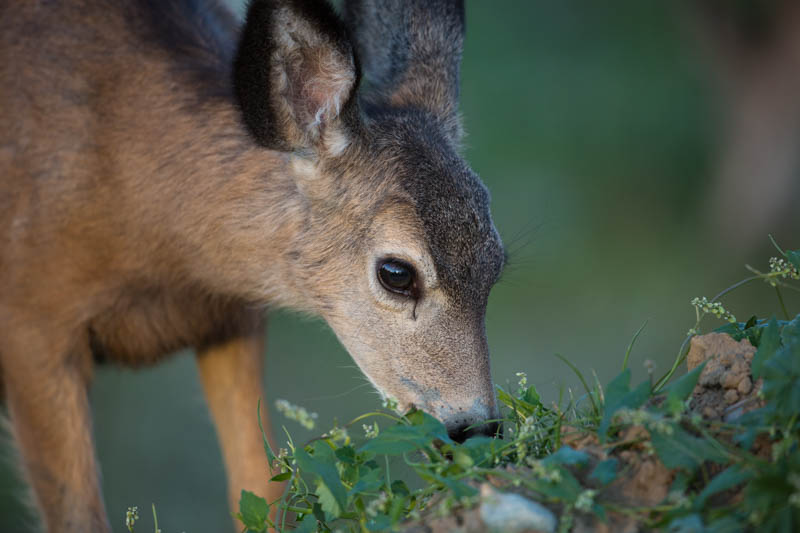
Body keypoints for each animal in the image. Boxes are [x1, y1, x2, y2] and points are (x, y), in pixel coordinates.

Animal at [0, 0, 504, 528]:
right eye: (397, 273)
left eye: (496, 264)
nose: (475, 427)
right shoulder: (31, 325)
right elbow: (77, 516)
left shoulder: (230, 321)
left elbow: (261, 489)